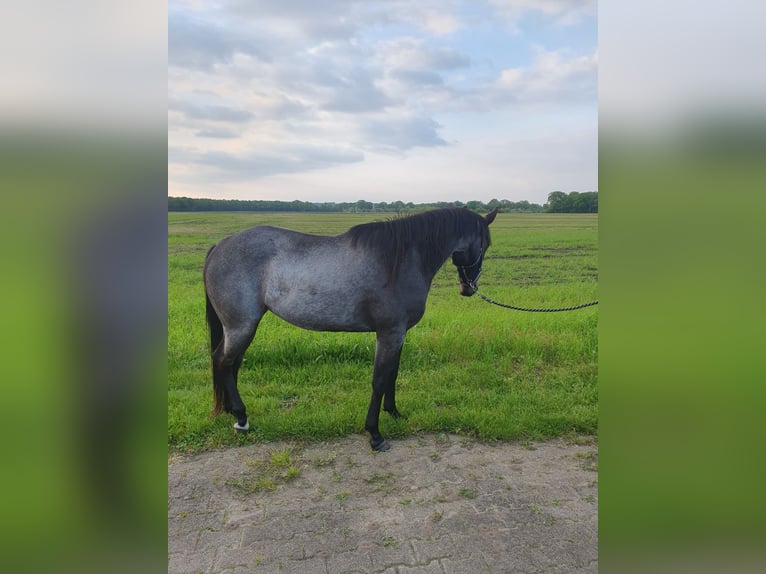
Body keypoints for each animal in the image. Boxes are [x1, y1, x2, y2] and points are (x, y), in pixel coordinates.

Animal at [204, 209, 500, 452]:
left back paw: (232, 412)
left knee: (229, 363)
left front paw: (394, 413)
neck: (400, 261)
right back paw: (241, 418)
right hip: (242, 326)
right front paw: (375, 434)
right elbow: (379, 380)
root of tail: (220, 245)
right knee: (224, 361)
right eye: (485, 244)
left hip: (239, 328)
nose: (468, 288)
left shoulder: (398, 334)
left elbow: (392, 374)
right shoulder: (389, 333)